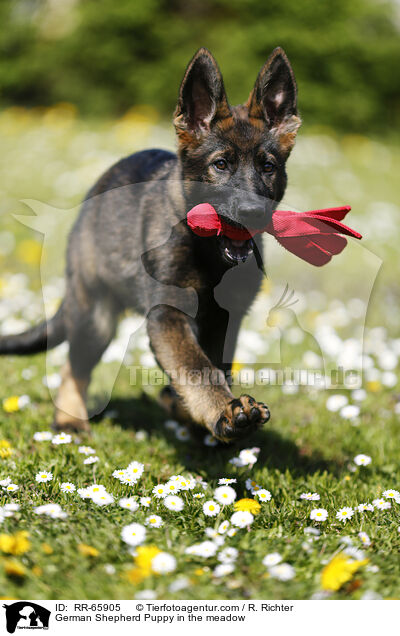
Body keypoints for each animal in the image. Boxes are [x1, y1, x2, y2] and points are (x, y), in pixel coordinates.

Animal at [0, 46, 300, 442]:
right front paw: (224, 410)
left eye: (268, 168)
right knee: (73, 367)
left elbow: (214, 364)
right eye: (220, 165)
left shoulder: (227, 317)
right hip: (95, 316)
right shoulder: (167, 313)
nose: (252, 213)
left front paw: (198, 411)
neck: (206, 253)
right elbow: (196, 367)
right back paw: (69, 421)